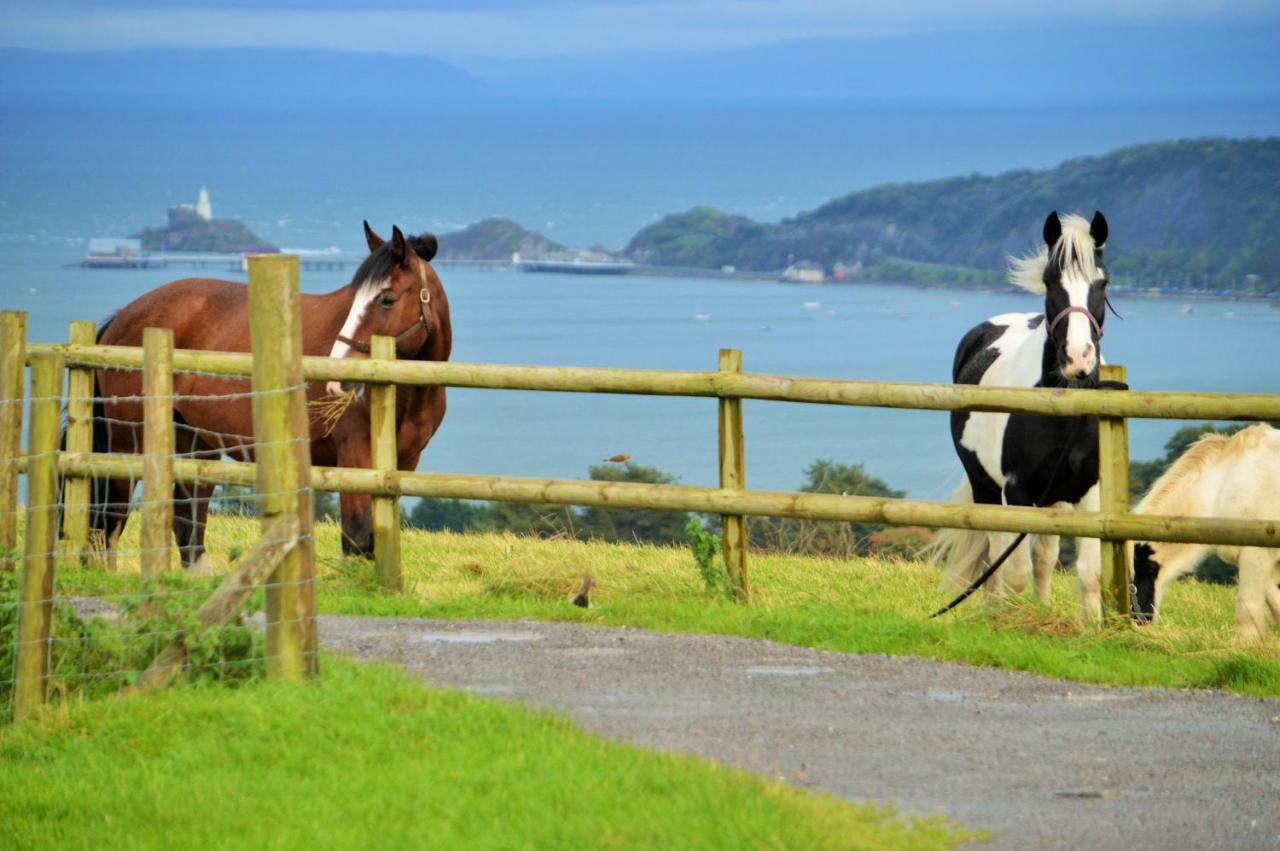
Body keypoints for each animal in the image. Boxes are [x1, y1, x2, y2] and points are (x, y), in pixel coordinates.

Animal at [90, 225, 450, 570]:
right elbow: (358, 536)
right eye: (353, 300)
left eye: (386, 299)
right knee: (112, 517)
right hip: (128, 442)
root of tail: (123, 317)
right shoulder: (354, 455)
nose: (336, 380)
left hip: (197, 442)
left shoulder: (404, 463)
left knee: (188, 517)